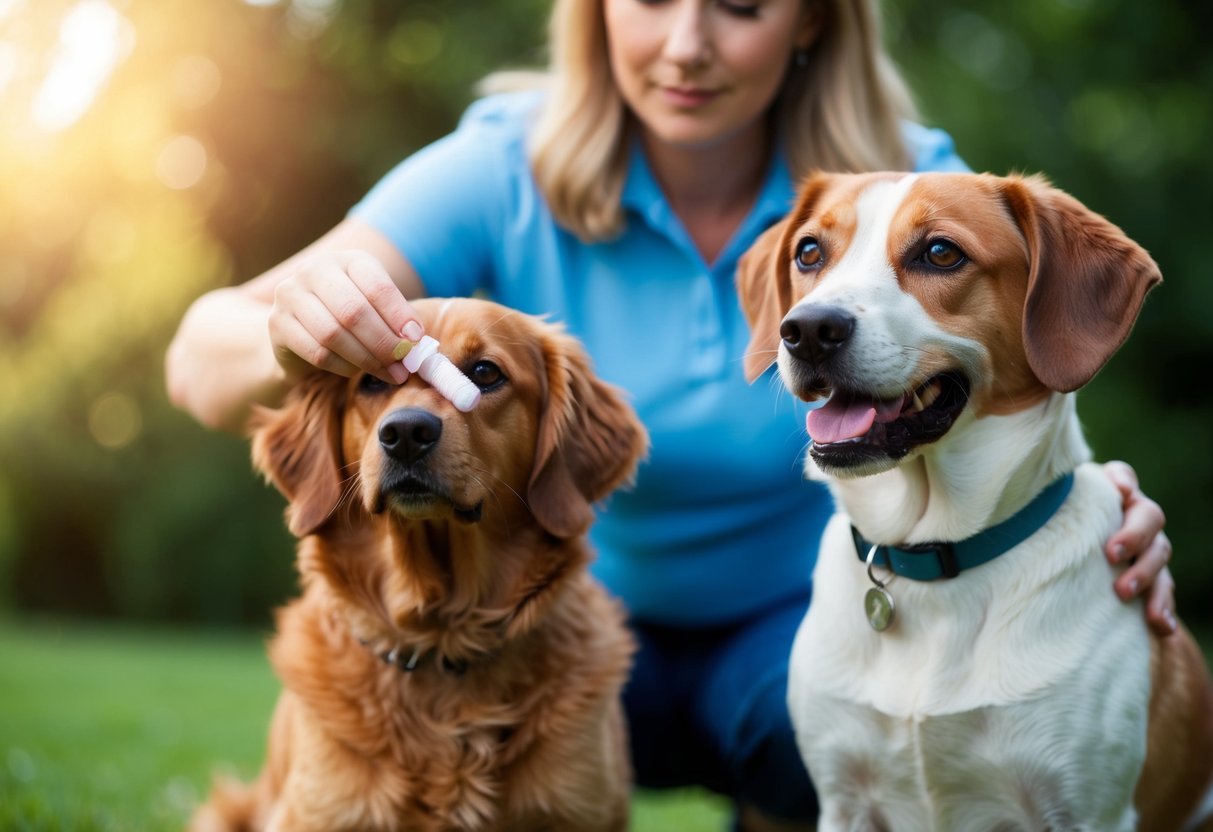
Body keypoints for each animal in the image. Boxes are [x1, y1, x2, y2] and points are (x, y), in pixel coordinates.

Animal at [732, 172, 1213, 829]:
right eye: (809, 253)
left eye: (940, 252)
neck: (931, 556)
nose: (807, 330)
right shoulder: (842, 799)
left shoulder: (1088, 811)